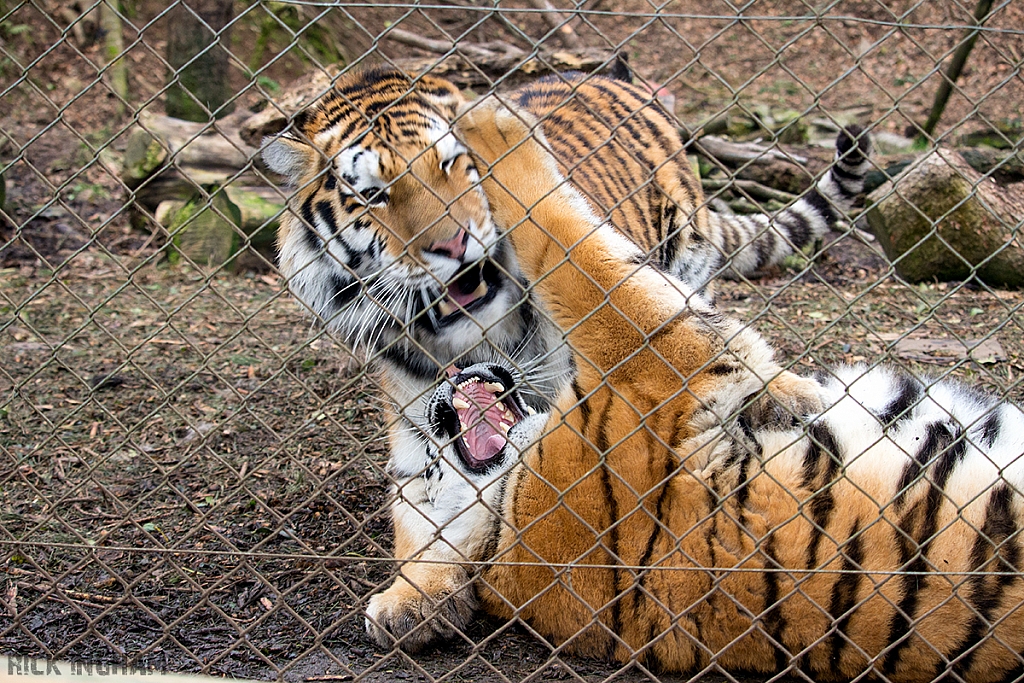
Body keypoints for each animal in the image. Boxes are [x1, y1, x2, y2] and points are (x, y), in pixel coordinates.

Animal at [366, 97, 1024, 683]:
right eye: (428, 472)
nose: (444, 391)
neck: (504, 521)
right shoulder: (660, 357)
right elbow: (566, 248)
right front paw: (488, 123)